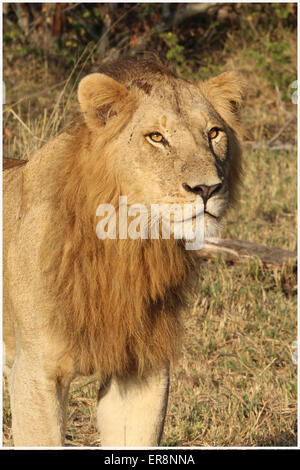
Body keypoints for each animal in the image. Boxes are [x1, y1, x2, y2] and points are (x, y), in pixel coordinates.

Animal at [2, 53, 246, 446]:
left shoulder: (141, 370)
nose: (208, 189)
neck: (131, 244)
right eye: (157, 137)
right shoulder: (34, 372)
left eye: (213, 133)